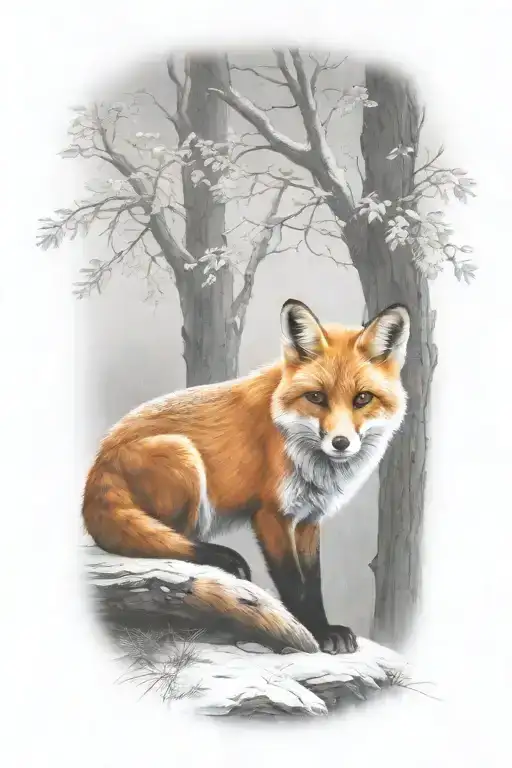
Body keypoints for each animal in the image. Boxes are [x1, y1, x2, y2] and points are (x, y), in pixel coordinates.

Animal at [83, 298, 410, 654]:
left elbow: (313, 582)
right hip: (184, 459)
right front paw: (316, 632)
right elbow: (293, 583)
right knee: (166, 547)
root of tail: (98, 462)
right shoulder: (271, 515)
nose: (340, 443)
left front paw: (325, 628)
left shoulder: (309, 518)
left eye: (362, 398)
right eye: (316, 397)